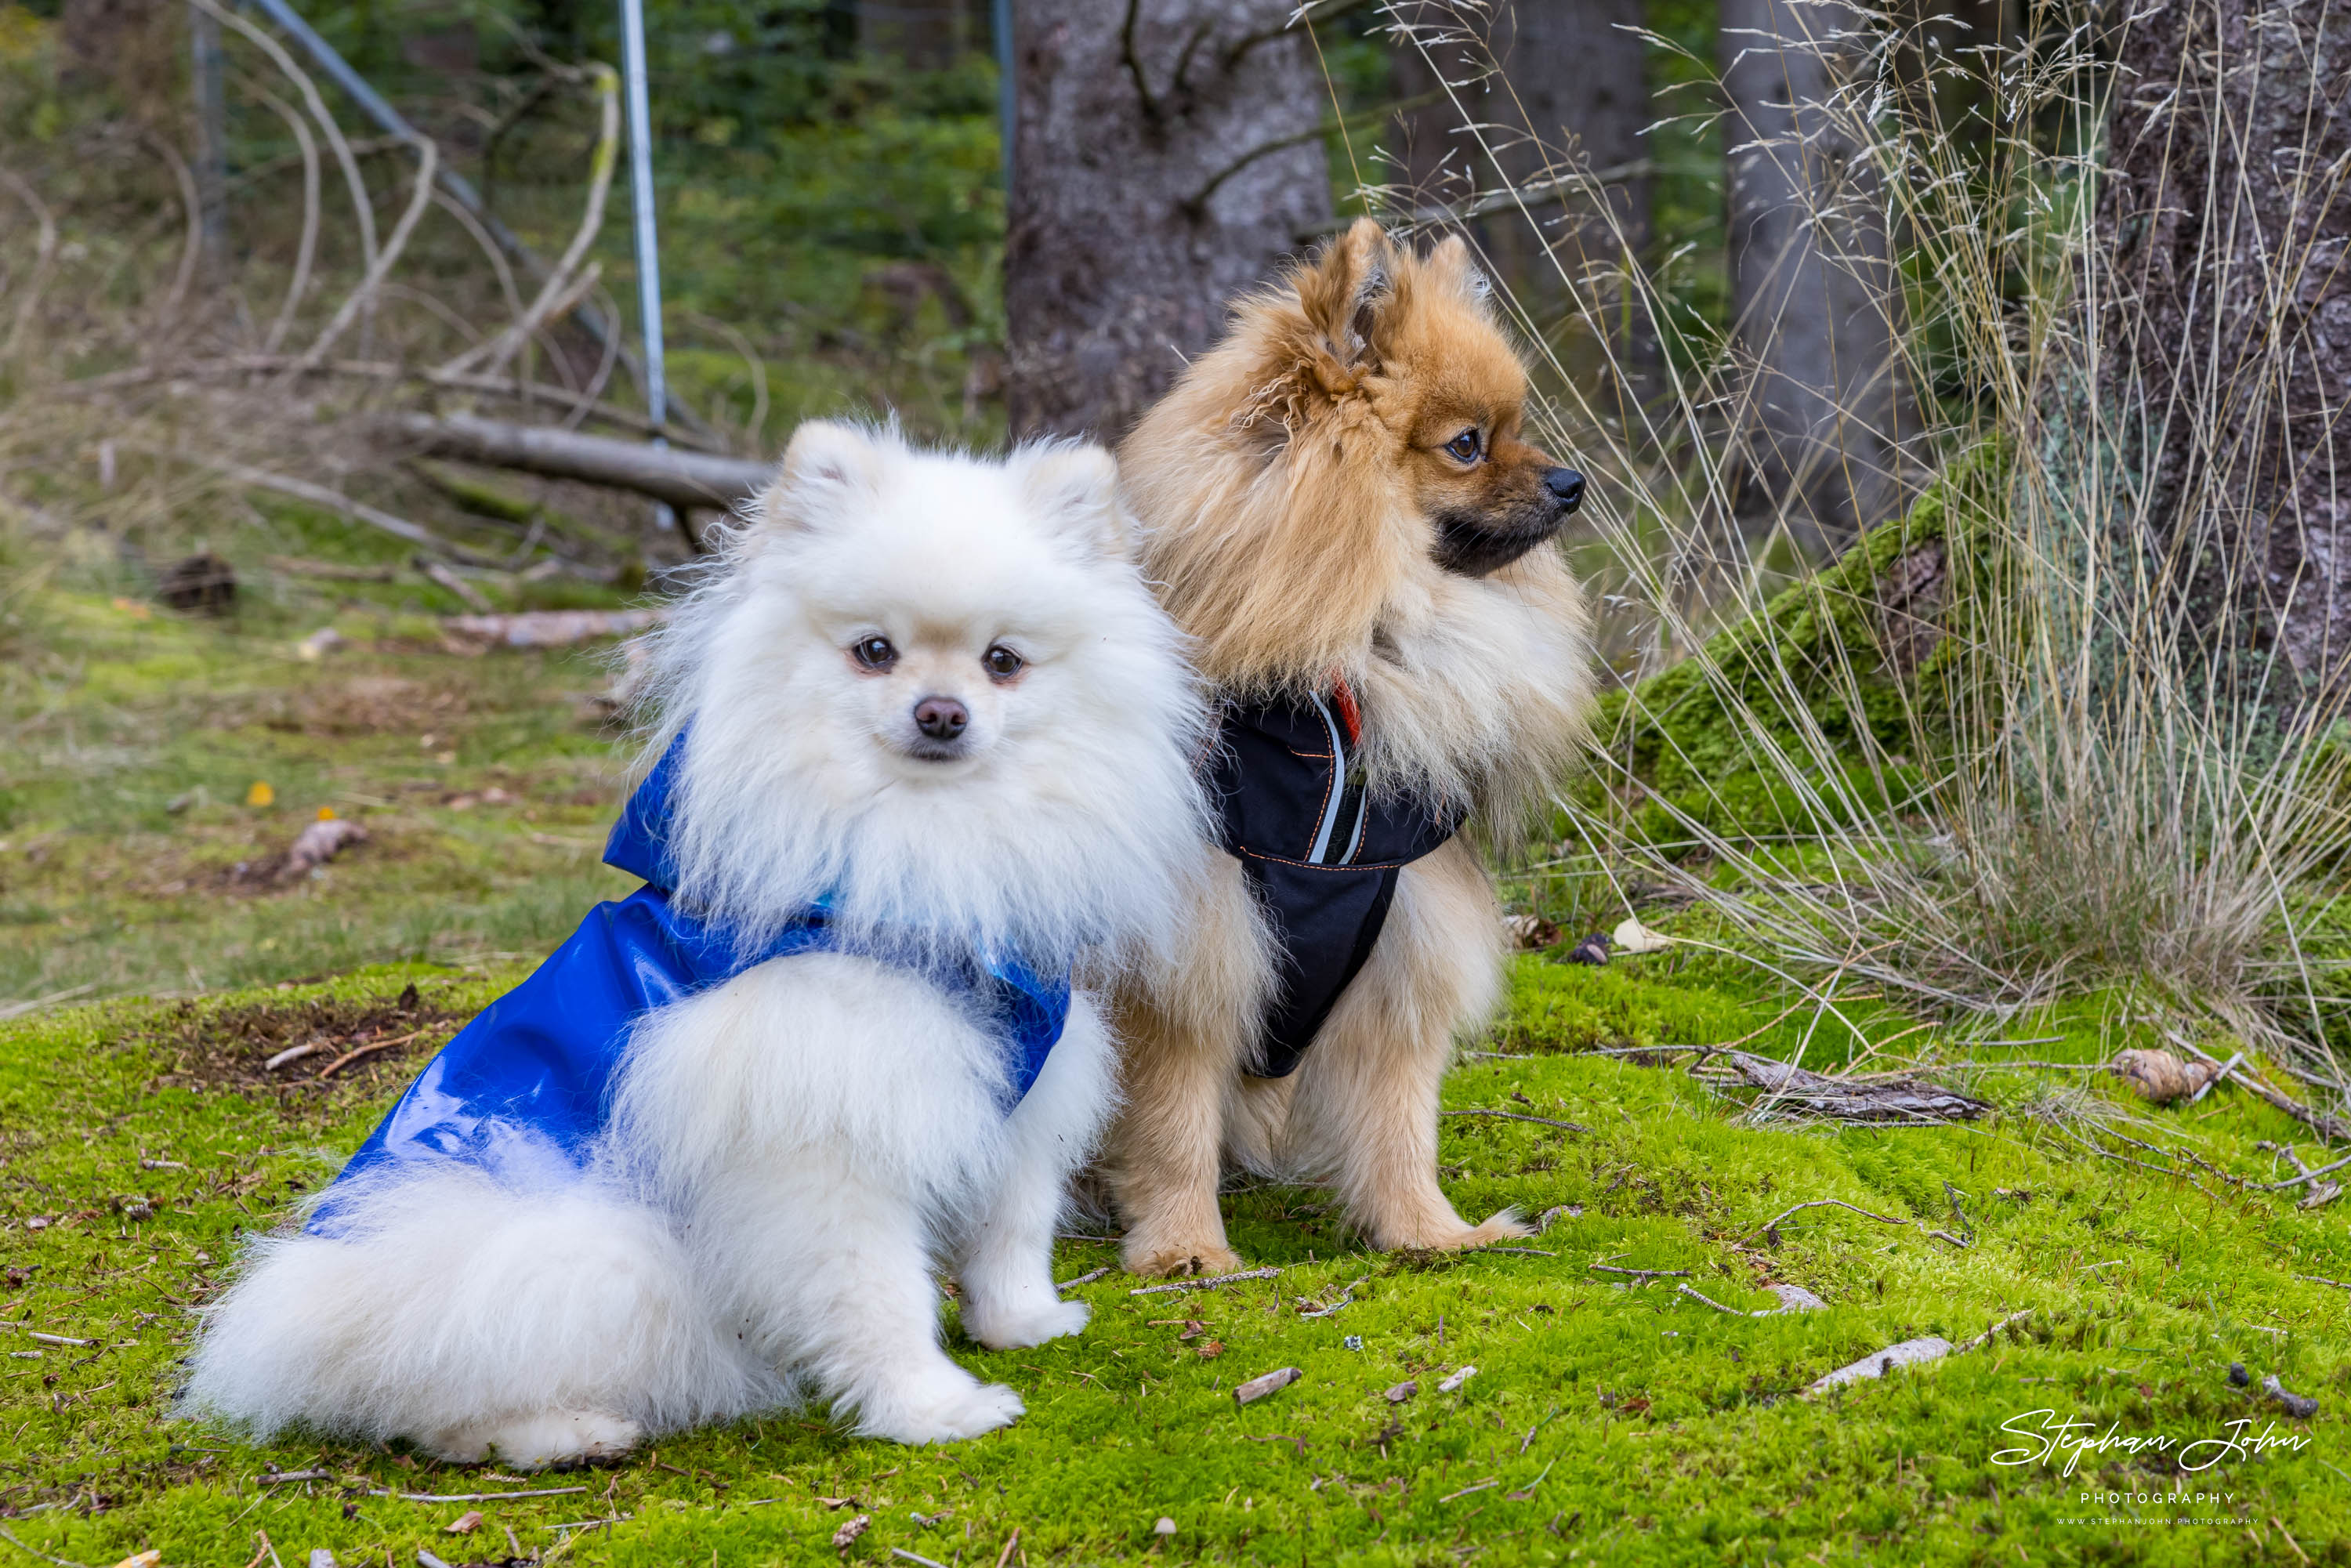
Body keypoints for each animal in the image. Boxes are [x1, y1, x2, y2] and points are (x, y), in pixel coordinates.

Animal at [181, 423, 1204, 1467]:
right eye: (874, 651)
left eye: (1004, 662)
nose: (941, 714)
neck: (923, 849)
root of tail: (305, 1303)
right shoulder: (820, 1122)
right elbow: (877, 1286)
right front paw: (931, 1408)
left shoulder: (1026, 1083)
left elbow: (1012, 1226)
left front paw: (1023, 1323)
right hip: (578, 1243)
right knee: (434, 1383)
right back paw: (565, 1430)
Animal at [1100, 215, 1599, 1279]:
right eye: (1467, 444)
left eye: (1517, 424)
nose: (1573, 482)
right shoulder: (1190, 953)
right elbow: (1171, 1122)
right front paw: (1186, 1254)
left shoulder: (1401, 933)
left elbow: (1400, 1118)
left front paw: (1428, 1233)